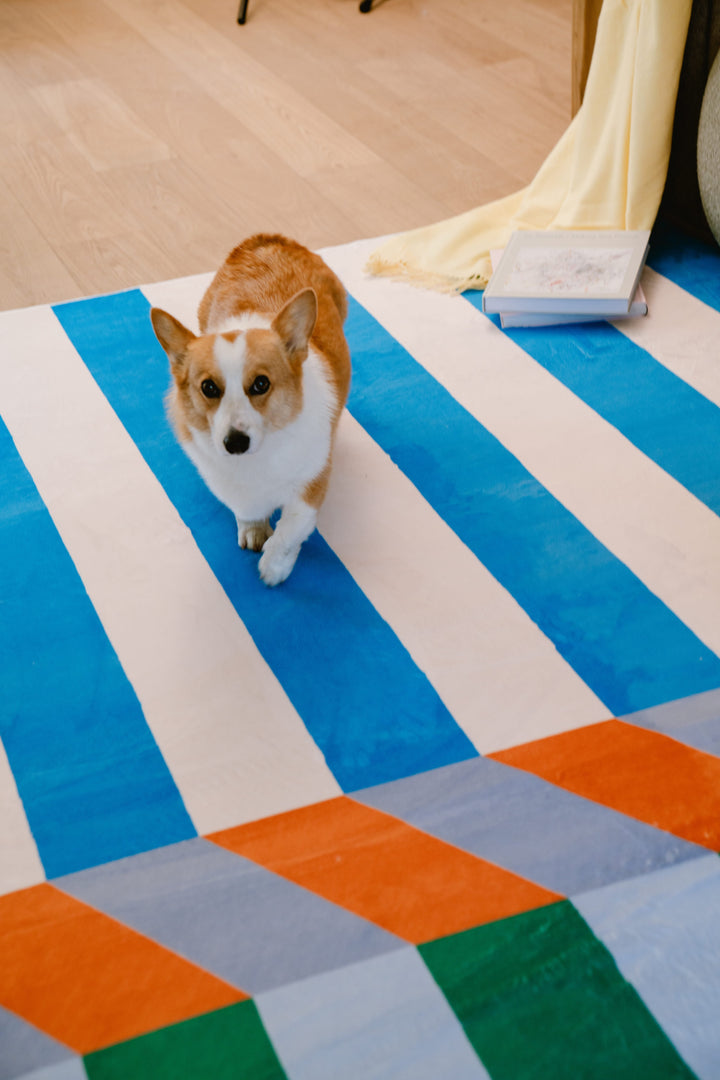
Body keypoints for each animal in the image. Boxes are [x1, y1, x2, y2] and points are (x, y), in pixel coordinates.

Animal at [152, 236, 351, 587]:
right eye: (208, 388)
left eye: (261, 384)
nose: (235, 443)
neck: (259, 456)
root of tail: (265, 239)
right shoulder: (230, 485)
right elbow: (247, 509)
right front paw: (255, 531)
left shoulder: (312, 481)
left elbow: (291, 529)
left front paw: (273, 568)